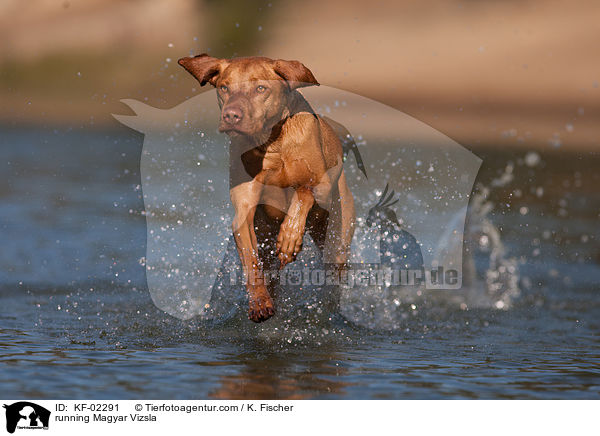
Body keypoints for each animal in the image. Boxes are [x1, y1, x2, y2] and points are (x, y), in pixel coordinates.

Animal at [178, 54, 356, 322]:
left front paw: (290, 236)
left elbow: (303, 191)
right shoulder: (244, 212)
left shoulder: (321, 187)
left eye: (260, 88)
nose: (231, 115)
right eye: (224, 87)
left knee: (333, 275)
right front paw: (259, 302)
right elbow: (251, 261)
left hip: (337, 238)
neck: (272, 143)